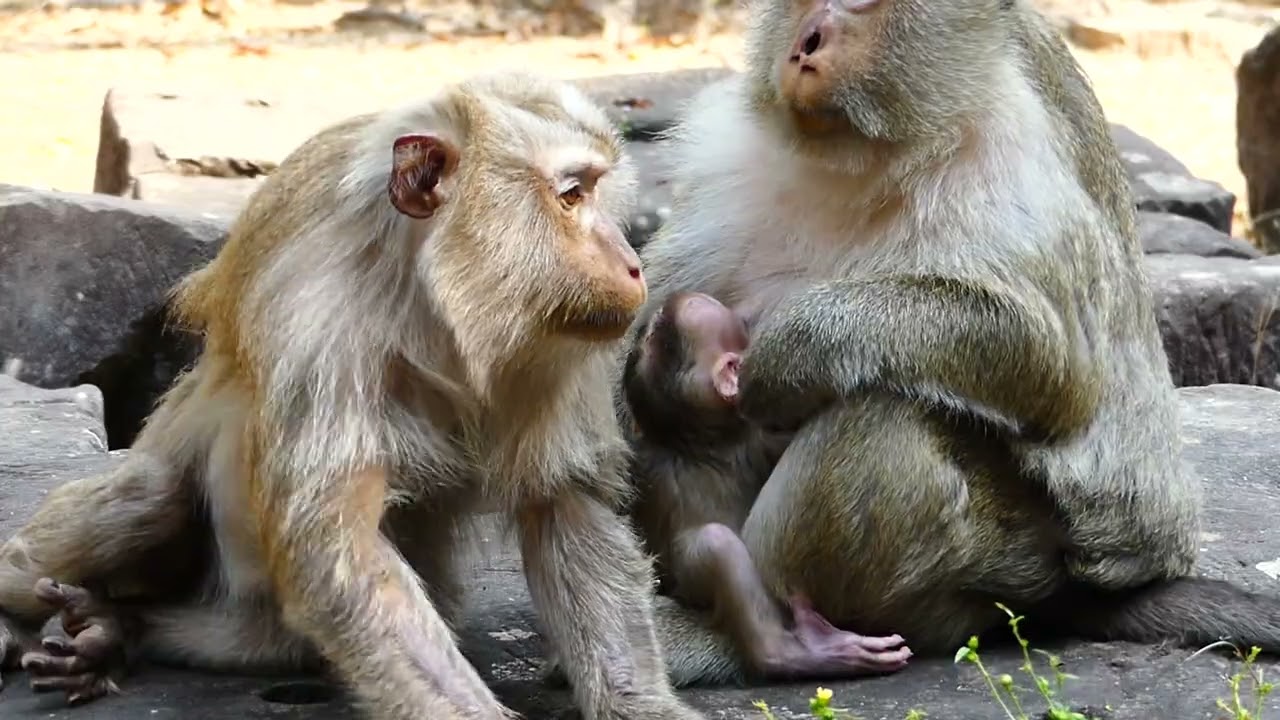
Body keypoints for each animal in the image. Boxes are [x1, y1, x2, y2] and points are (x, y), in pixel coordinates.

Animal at [0, 71, 707, 720]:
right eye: (571, 194)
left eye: (596, 189)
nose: (632, 262)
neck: (434, 300)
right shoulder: (318, 315)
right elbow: (342, 557)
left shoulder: (565, 337)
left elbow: (566, 503)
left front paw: (641, 706)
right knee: (154, 495)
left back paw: (119, 630)